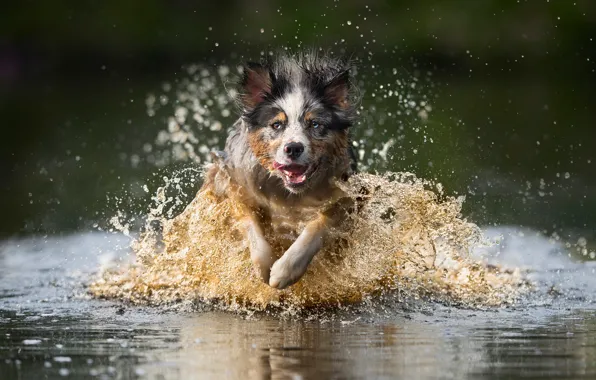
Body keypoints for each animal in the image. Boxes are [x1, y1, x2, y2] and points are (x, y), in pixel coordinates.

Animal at [203, 52, 356, 290]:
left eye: (315, 124)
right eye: (277, 125)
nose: (293, 148)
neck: (288, 192)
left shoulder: (348, 195)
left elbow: (318, 225)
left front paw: (284, 271)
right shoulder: (233, 184)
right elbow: (250, 224)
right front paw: (265, 267)